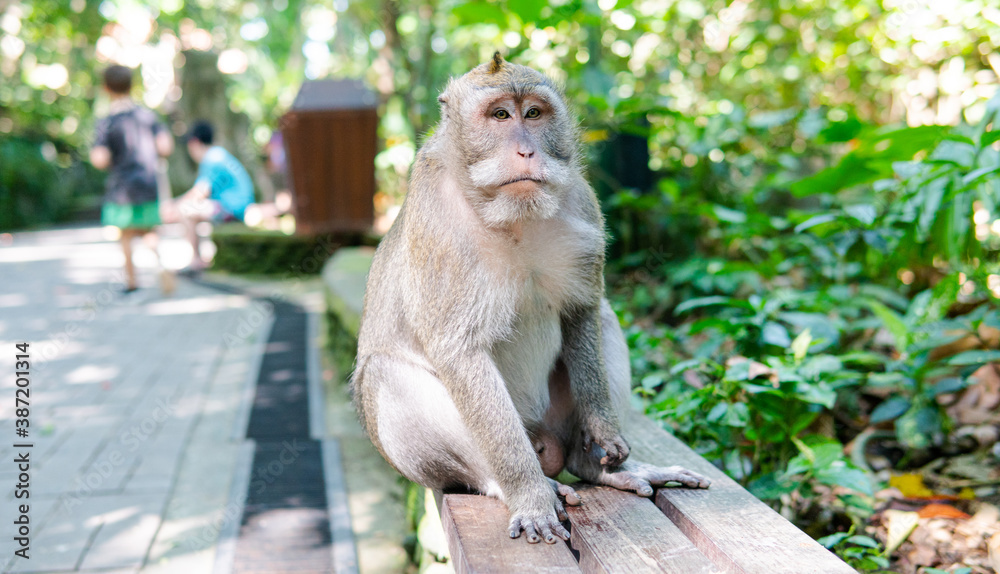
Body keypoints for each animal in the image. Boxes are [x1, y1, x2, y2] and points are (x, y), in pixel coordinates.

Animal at [351, 53, 710, 545]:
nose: (526, 151)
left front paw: (603, 430)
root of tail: (547, 444)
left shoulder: (581, 199)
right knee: (385, 374)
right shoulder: (437, 221)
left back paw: (597, 467)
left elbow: (583, 310)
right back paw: (516, 484)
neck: (511, 216)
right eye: (501, 115)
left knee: (605, 317)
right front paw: (529, 495)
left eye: (534, 114)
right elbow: (459, 350)